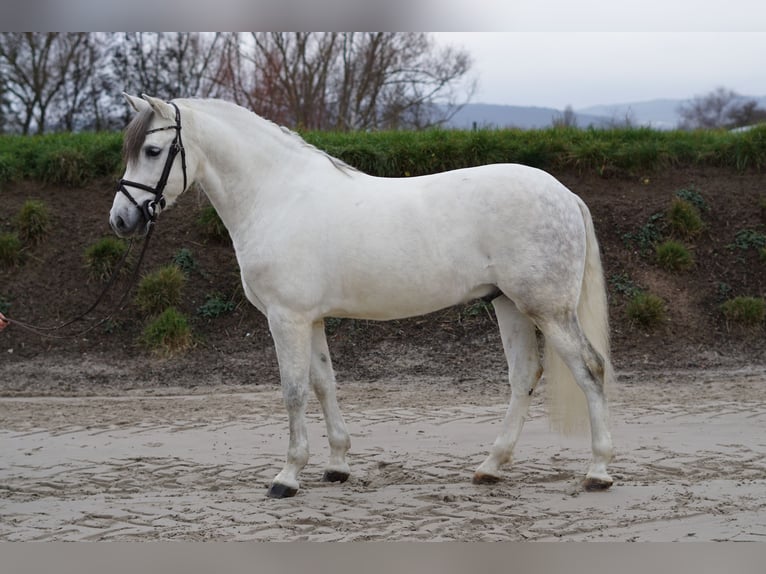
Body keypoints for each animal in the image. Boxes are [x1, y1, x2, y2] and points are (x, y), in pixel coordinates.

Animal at [111, 94, 616, 500]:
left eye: (153, 150)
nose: (121, 220)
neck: (276, 197)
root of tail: (564, 194)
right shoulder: (311, 319)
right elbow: (324, 383)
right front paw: (337, 465)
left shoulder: (286, 318)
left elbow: (293, 390)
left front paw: (287, 476)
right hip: (508, 304)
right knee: (524, 375)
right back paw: (490, 467)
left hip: (547, 309)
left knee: (590, 369)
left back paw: (597, 471)